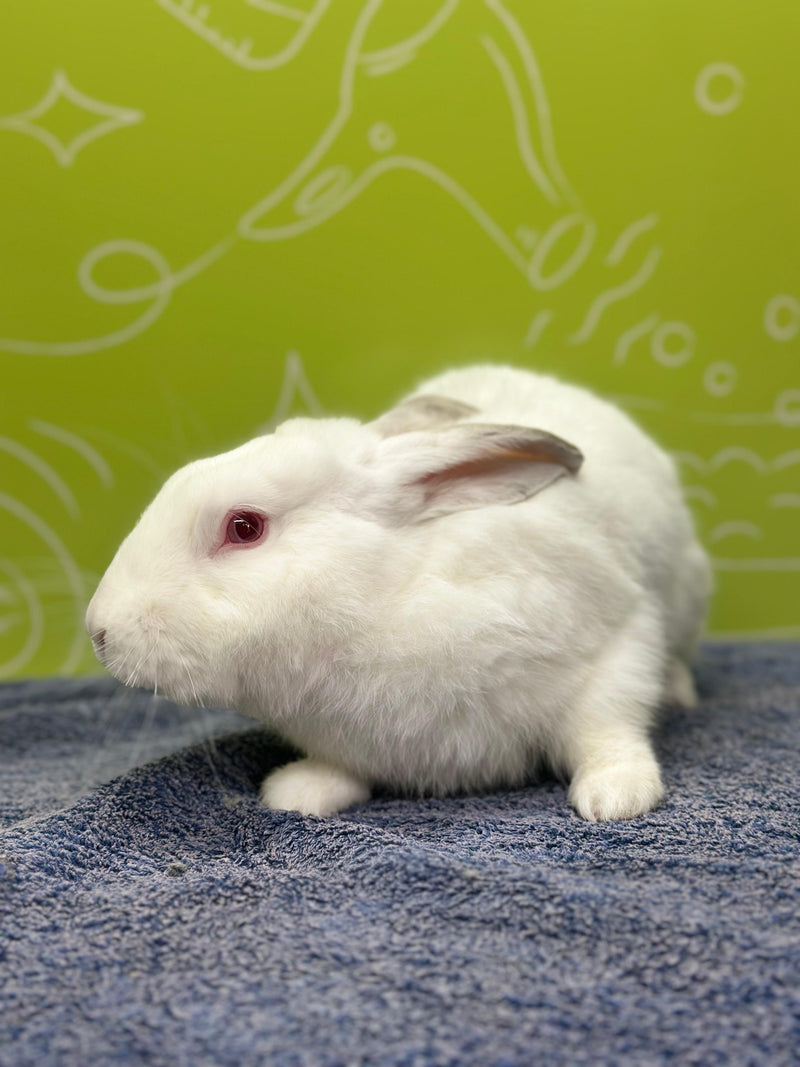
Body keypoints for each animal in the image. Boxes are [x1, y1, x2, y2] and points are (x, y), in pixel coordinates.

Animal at [86, 364, 711, 821]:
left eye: (244, 527)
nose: (99, 631)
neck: (381, 594)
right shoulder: (345, 740)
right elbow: (336, 771)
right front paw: (298, 792)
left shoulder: (615, 643)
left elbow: (606, 728)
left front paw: (617, 798)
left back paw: (680, 693)